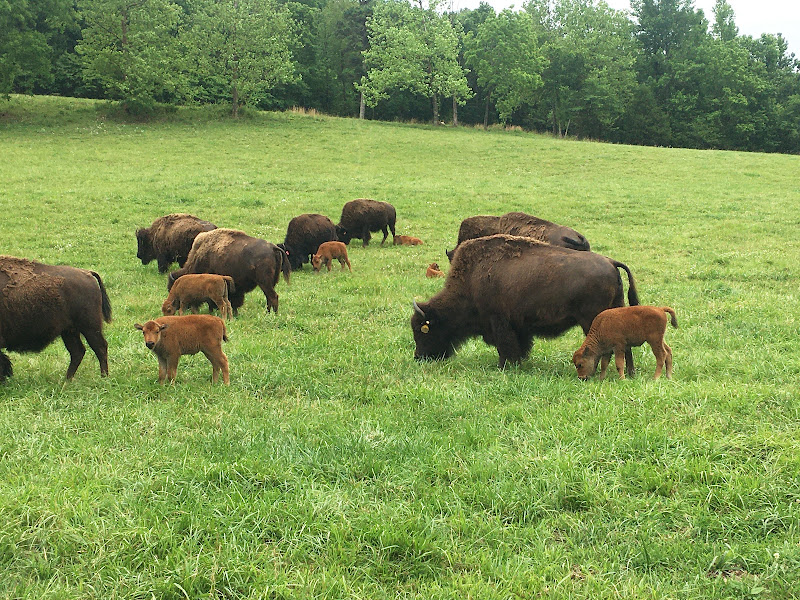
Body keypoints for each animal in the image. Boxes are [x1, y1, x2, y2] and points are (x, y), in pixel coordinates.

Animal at [412, 234, 639, 370]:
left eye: (424, 330)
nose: (419, 357)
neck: (472, 280)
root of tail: (611, 262)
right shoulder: (517, 326)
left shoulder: (498, 322)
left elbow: (505, 347)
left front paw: (504, 366)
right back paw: (628, 372)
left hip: (592, 319)